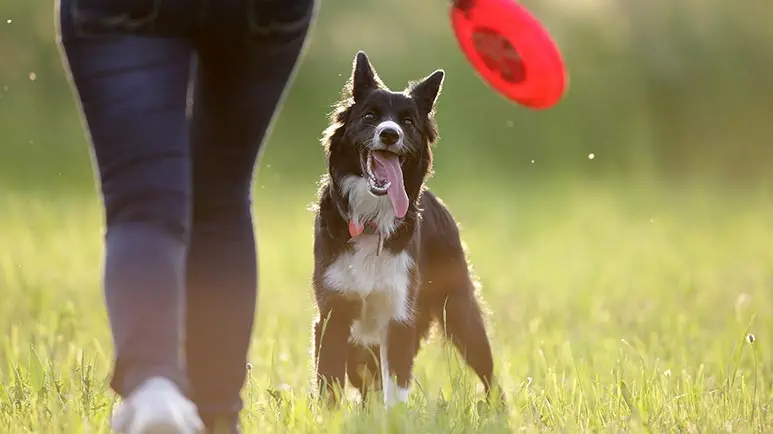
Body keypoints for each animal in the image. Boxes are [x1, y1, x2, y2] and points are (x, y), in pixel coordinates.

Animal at [310, 52, 504, 408]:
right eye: (370, 116)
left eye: (408, 123)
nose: (390, 134)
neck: (372, 222)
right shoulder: (333, 314)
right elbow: (329, 385)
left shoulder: (400, 316)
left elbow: (395, 391)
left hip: (460, 310)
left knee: (488, 372)